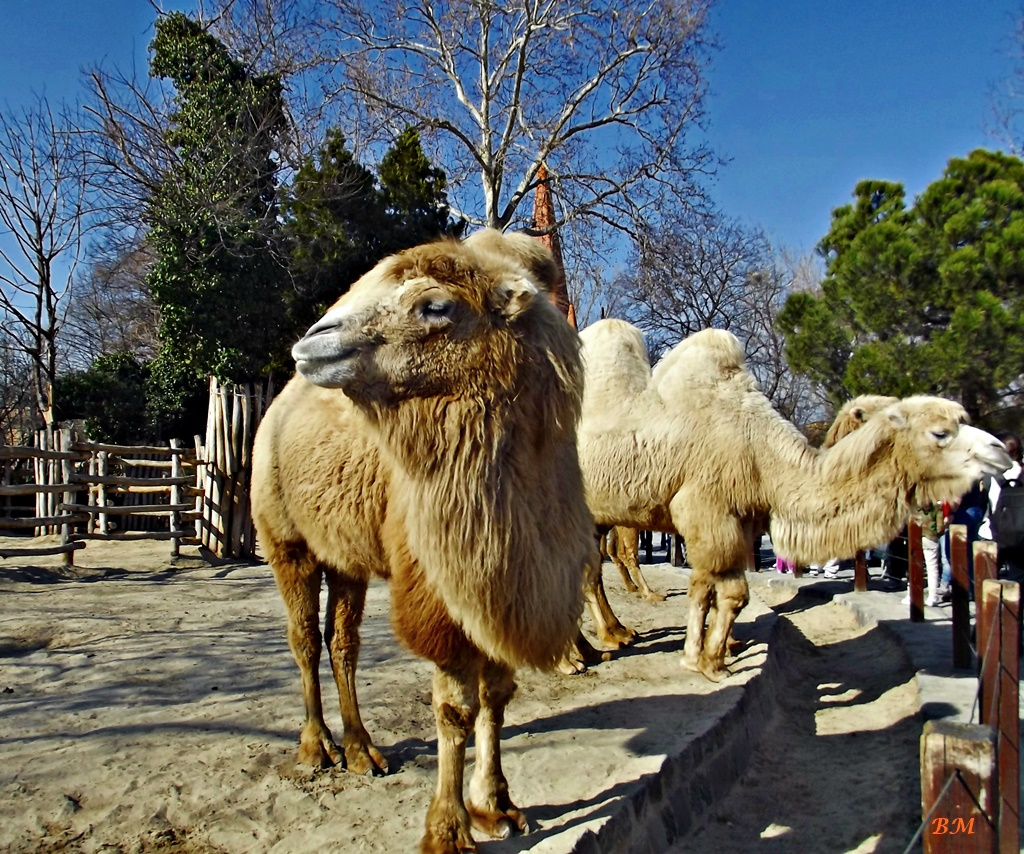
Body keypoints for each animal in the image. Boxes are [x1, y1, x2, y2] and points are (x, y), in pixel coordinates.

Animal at [250, 229, 598, 847]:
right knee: (303, 639)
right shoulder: (441, 588)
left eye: (435, 305)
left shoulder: (501, 589)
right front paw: (448, 830)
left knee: (343, 643)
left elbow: (497, 697)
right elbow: (455, 709)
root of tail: (274, 411)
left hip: (347, 560)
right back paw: (316, 749)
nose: (313, 339)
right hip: (286, 542)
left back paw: (363, 751)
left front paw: (498, 805)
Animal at [577, 319, 1007, 679]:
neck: (759, 447)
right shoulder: (705, 512)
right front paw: (702, 660)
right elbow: (714, 590)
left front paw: (720, 652)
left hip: (597, 516)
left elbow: (727, 593)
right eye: (940, 432)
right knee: (589, 572)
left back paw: (614, 634)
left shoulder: (736, 518)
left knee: (592, 572)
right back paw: (598, 646)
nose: (1000, 451)